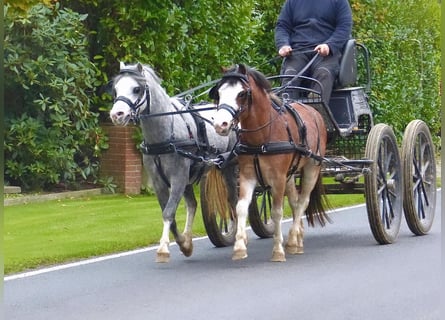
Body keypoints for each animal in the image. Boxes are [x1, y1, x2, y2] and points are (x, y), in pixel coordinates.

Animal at [209, 63, 330, 262]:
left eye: (242, 93)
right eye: (218, 93)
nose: (221, 125)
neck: (262, 136)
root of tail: (313, 111)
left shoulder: (278, 178)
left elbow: (277, 212)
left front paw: (278, 251)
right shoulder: (247, 175)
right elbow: (241, 207)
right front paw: (239, 247)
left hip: (312, 167)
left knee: (303, 201)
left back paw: (292, 240)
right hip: (291, 174)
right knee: (295, 202)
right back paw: (297, 239)